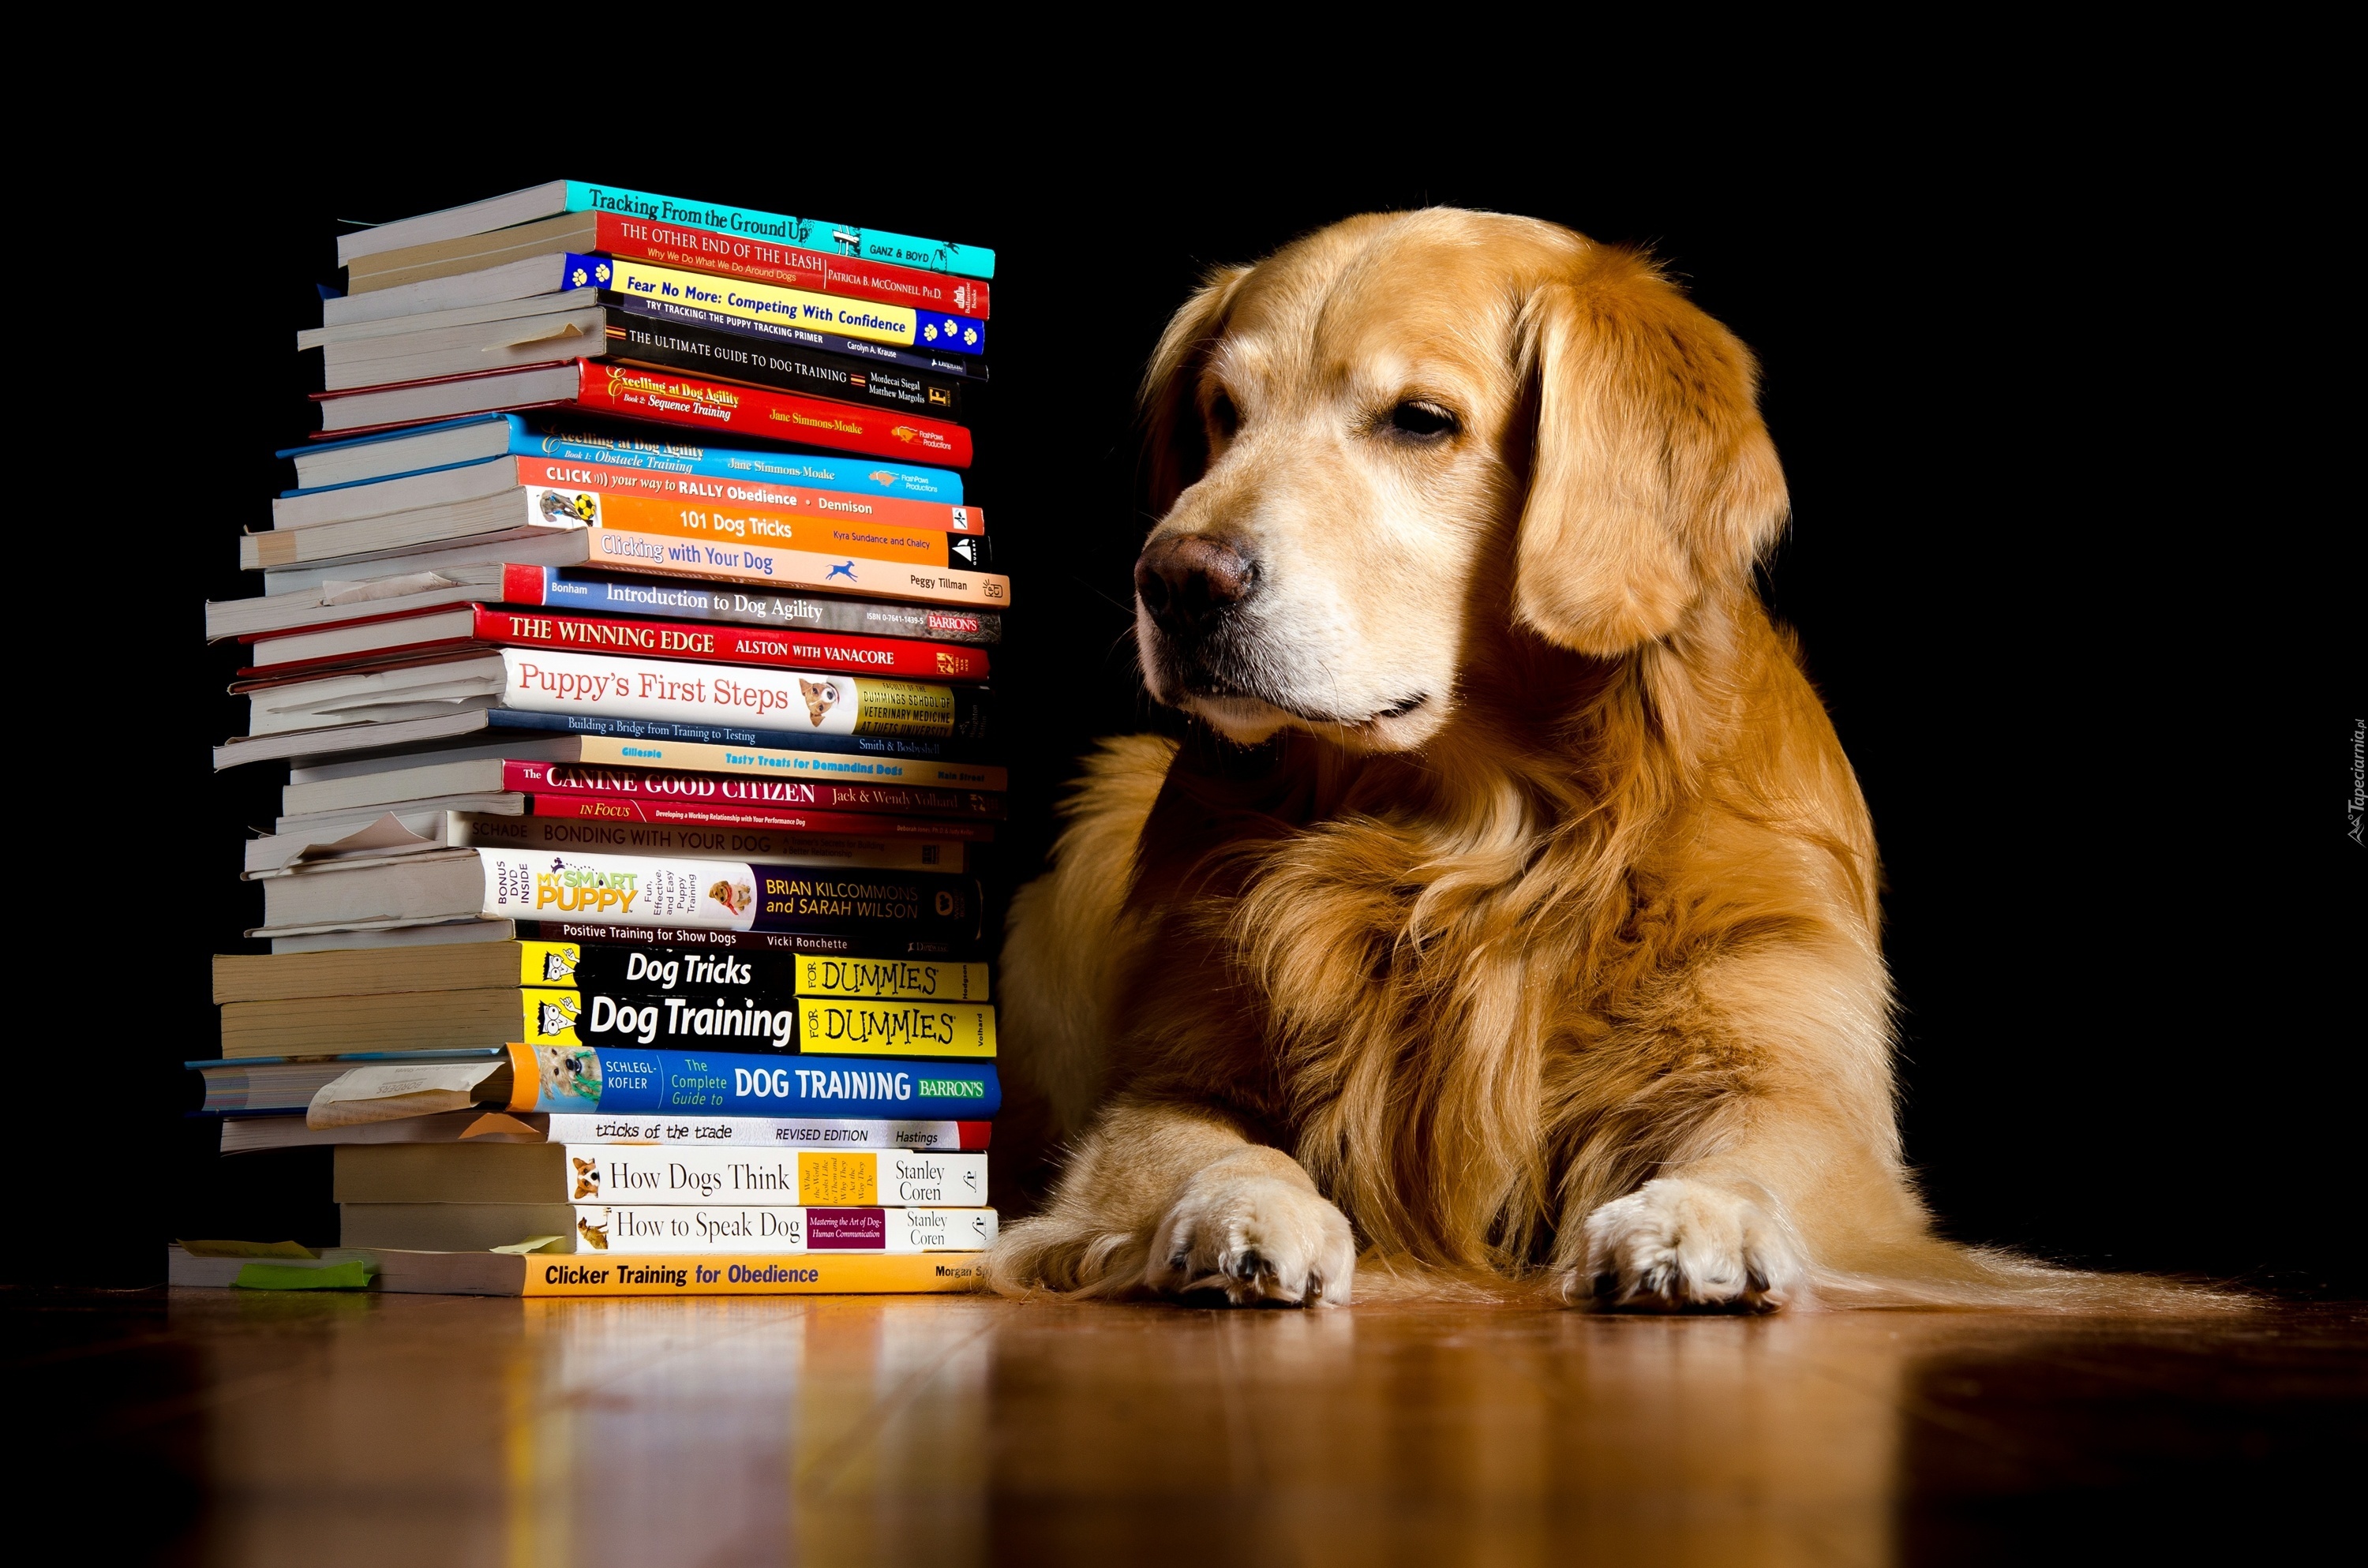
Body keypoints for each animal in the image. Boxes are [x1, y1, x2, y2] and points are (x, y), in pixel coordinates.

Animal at [980, 208, 2150, 1316]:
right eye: (1223, 414)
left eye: (1420, 420)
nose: (1176, 579)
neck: (1474, 835)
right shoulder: (1168, 1073)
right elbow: (1199, 1146)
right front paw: (1240, 1211)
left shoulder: (1809, 1093)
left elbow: (1757, 1155)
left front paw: (1696, 1216)